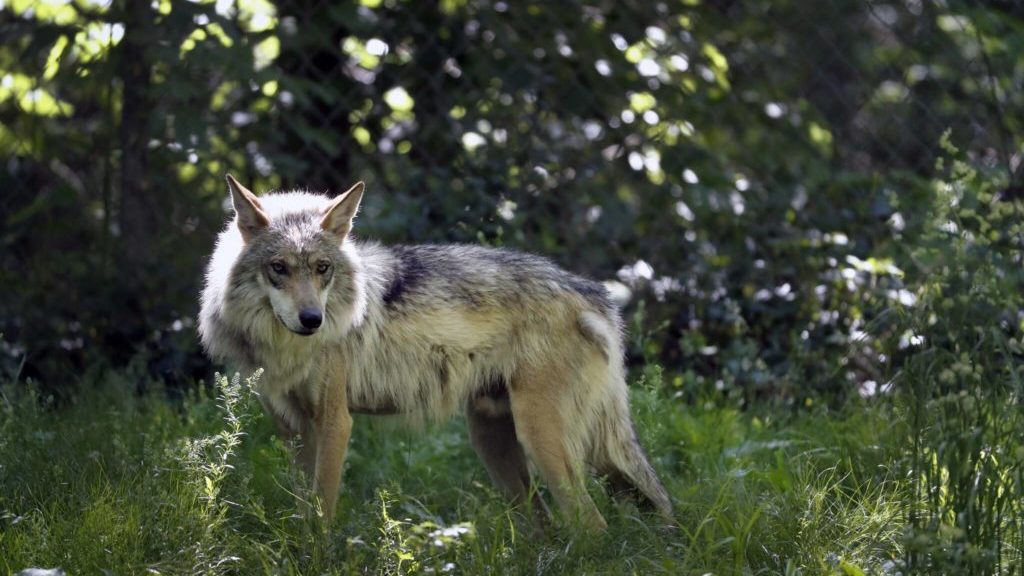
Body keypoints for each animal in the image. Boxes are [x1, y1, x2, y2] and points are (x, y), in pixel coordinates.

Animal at [199, 175, 675, 528]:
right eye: (278, 268)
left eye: (322, 269)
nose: (312, 319)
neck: (286, 350)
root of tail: (592, 292)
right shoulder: (294, 431)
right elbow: (303, 517)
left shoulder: (335, 423)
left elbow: (321, 519)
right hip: (497, 448)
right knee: (550, 528)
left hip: (546, 443)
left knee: (593, 527)